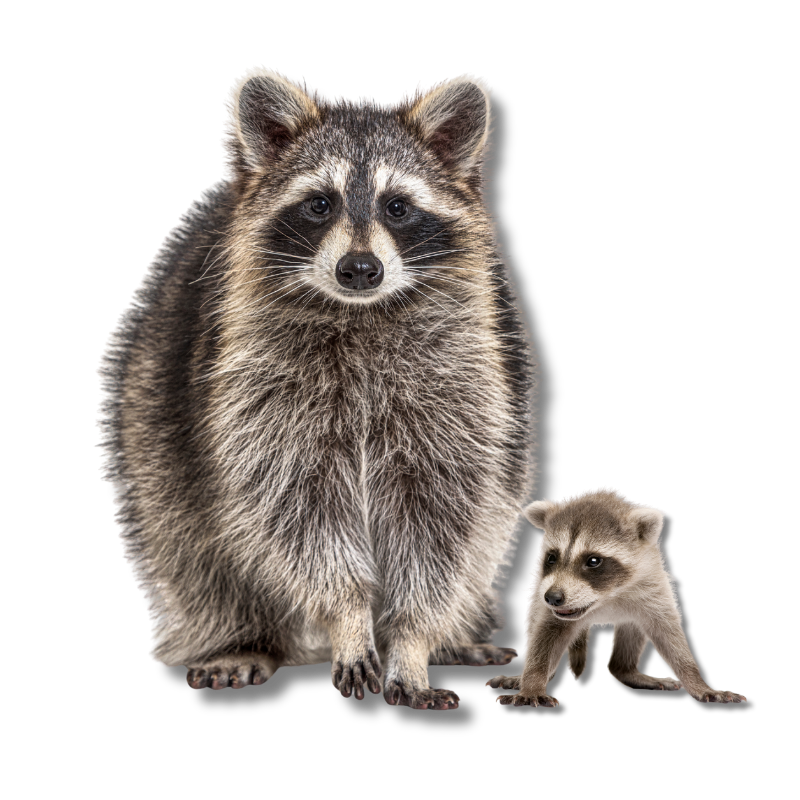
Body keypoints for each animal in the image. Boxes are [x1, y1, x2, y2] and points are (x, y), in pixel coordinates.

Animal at [97, 68, 539, 709]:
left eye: (397, 207)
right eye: (318, 204)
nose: (359, 269)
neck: (359, 313)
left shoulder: (463, 384)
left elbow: (440, 524)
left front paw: (411, 642)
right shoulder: (258, 392)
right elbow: (298, 511)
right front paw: (349, 617)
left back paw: (454, 636)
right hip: (152, 416)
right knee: (188, 548)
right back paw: (241, 638)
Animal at [486, 487, 746, 706]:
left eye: (593, 561)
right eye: (552, 557)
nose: (553, 597)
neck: (606, 596)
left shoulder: (652, 584)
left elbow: (668, 633)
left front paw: (696, 681)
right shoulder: (548, 594)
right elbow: (545, 636)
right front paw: (533, 682)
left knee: (634, 628)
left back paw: (625, 669)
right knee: (533, 624)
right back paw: (523, 676)